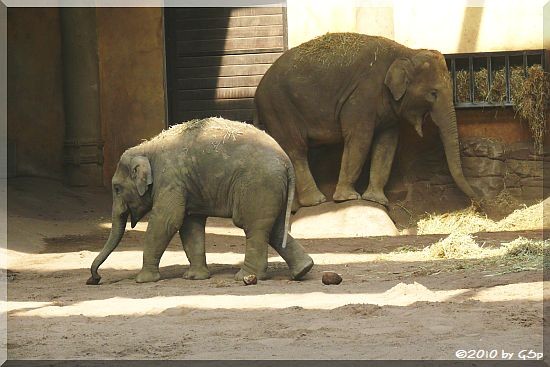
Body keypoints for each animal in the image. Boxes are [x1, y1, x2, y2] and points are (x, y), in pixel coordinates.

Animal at [85, 118, 314, 284]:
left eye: (117, 188)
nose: (94, 279)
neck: (146, 147)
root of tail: (286, 162)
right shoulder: (186, 185)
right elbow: (190, 225)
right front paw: (194, 277)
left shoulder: (170, 179)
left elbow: (166, 221)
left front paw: (142, 280)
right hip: (272, 189)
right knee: (274, 228)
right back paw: (303, 270)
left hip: (258, 186)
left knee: (253, 226)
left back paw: (245, 277)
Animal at [256, 33, 476, 208]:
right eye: (433, 94)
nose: (478, 201)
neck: (405, 51)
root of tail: (258, 89)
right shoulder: (363, 94)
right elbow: (360, 139)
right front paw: (348, 198)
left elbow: (387, 144)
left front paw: (376, 200)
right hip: (279, 107)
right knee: (296, 149)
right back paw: (316, 201)